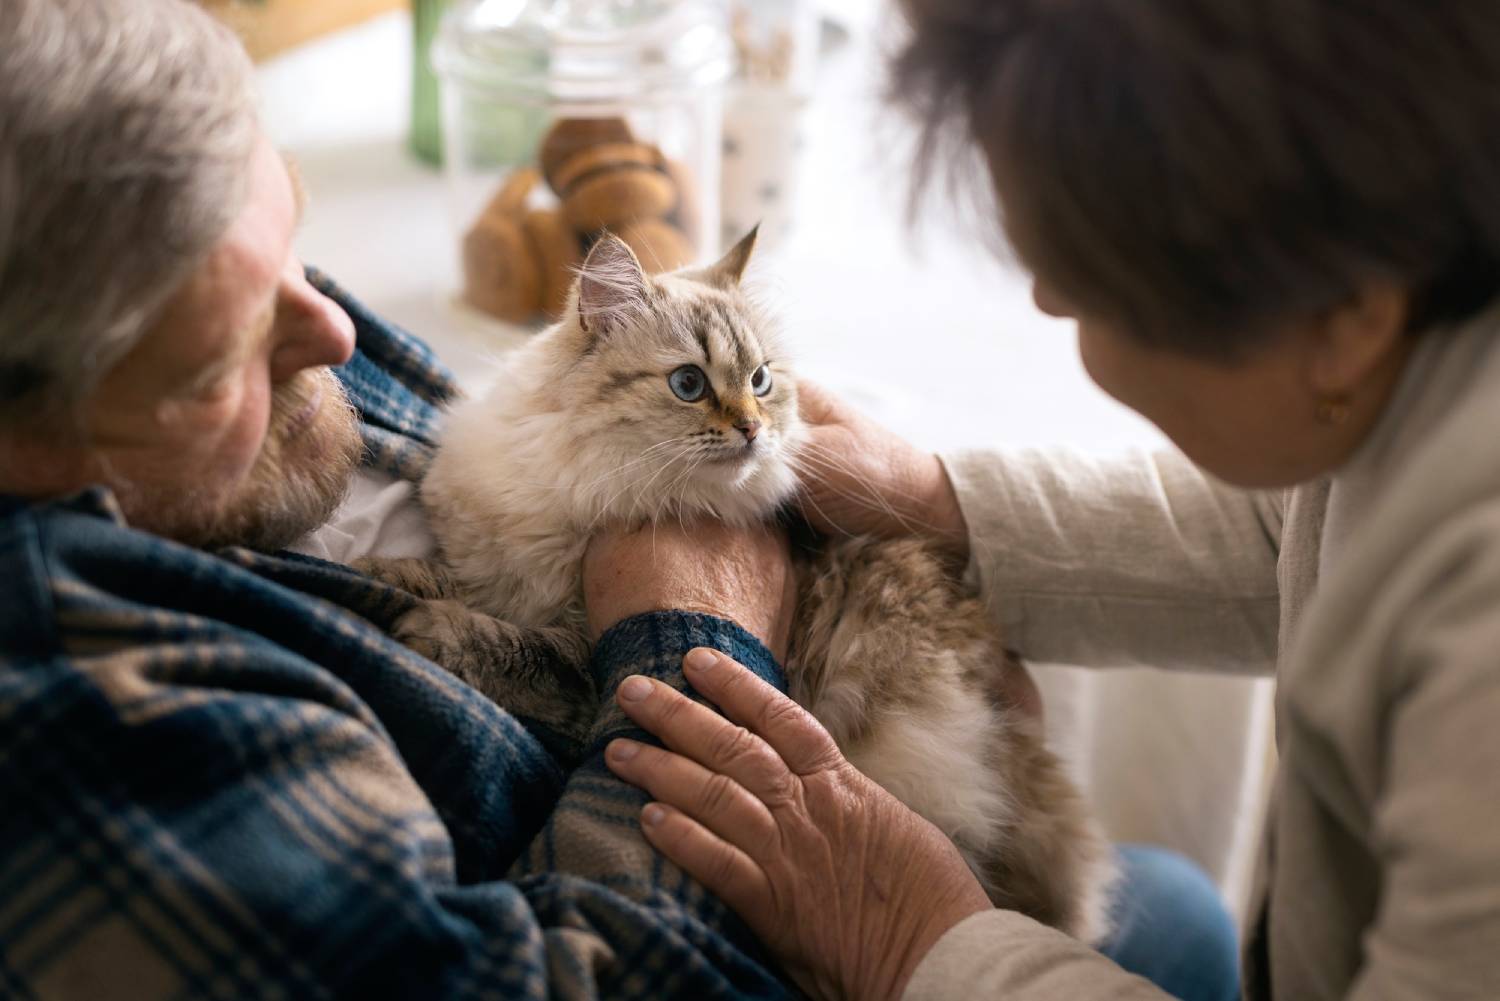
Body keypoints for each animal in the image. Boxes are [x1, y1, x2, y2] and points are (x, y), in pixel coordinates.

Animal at [387, 231, 1116, 942]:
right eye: (688, 383)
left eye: (761, 381)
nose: (752, 428)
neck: (587, 483)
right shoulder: (490, 561)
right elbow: (449, 577)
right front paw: (387, 575)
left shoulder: (585, 658)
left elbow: (516, 645)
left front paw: (419, 625)